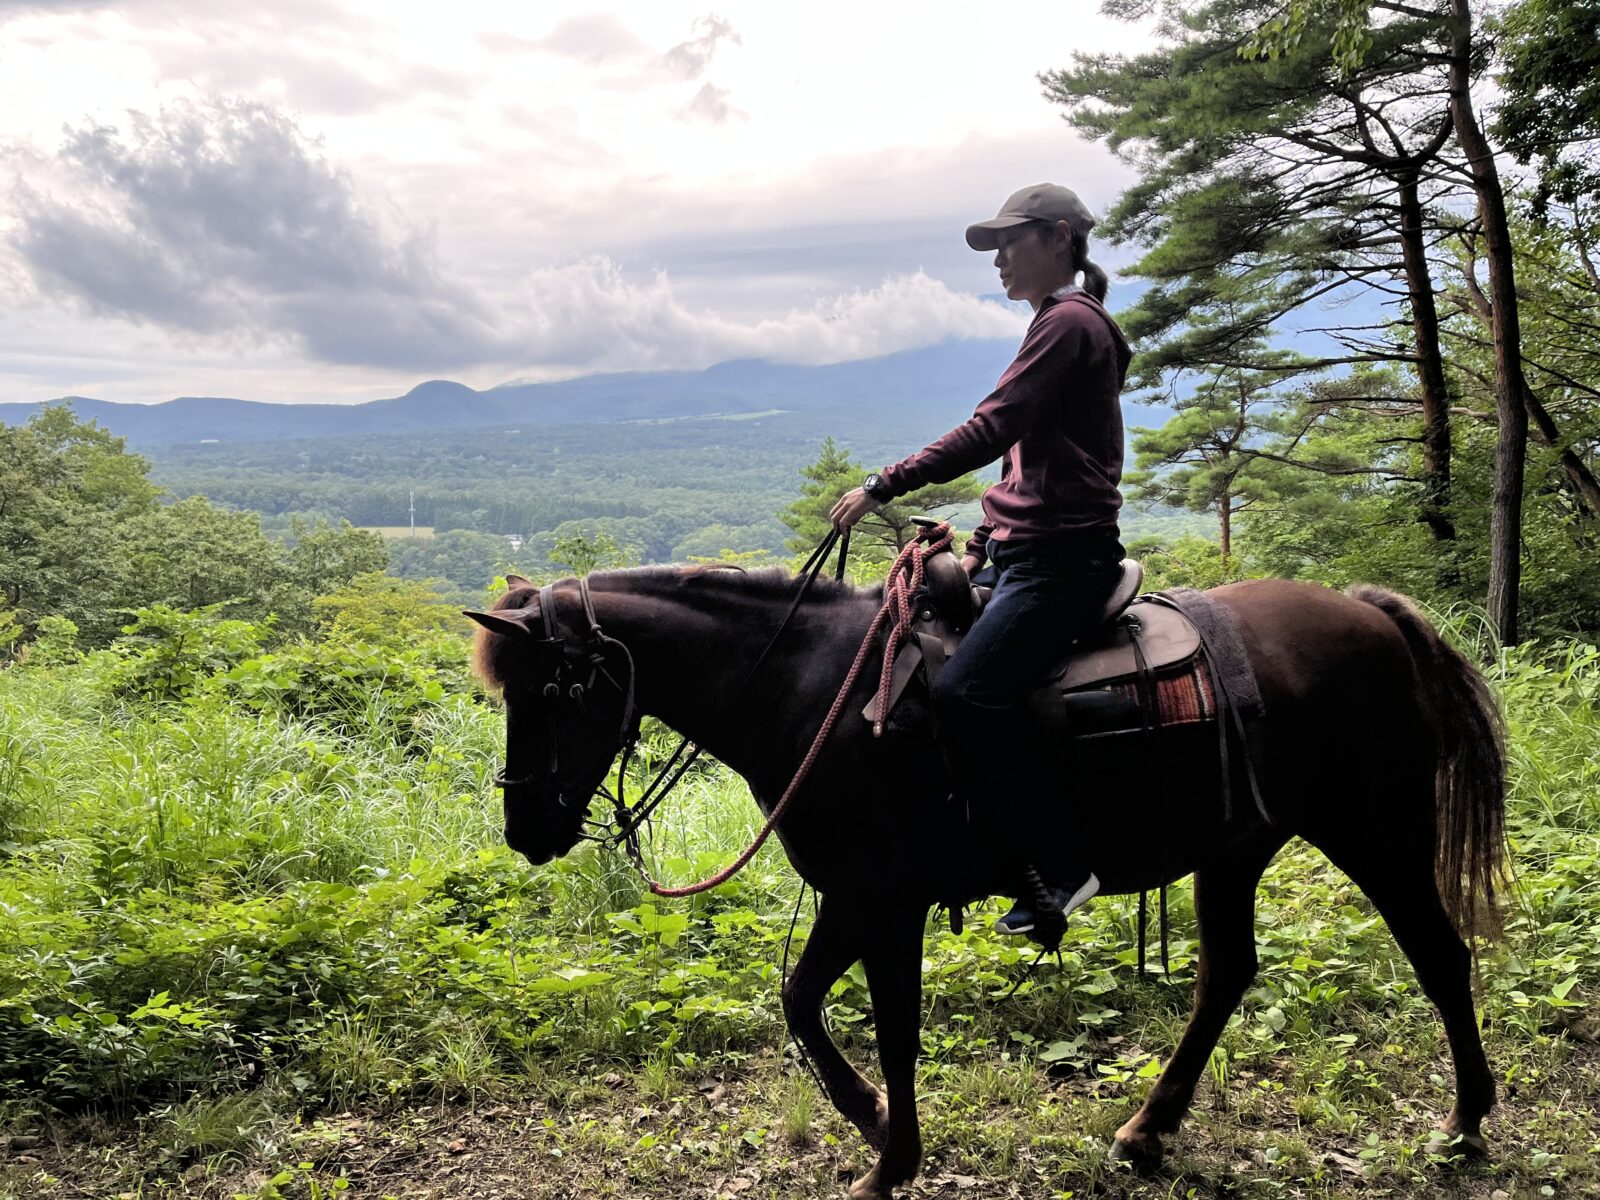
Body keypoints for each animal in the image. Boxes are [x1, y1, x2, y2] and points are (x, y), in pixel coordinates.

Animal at [467, 569, 1510, 1196]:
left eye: (552, 690)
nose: (525, 829)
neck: (814, 690)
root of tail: (1374, 614)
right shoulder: (855, 900)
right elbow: (802, 1002)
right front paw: (874, 1125)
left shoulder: (880, 903)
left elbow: (887, 1031)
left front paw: (890, 1158)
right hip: (1235, 850)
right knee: (1226, 976)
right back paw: (1147, 1129)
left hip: (1376, 832)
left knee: (1439, 956)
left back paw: (1464, 1125)